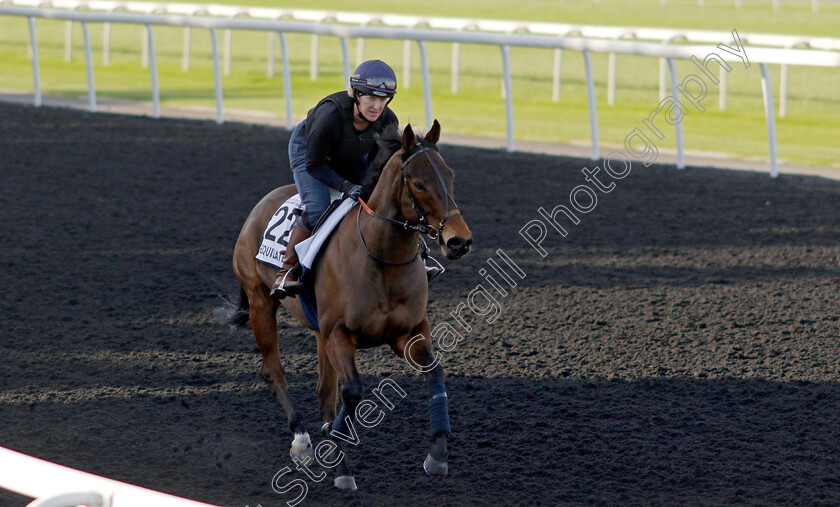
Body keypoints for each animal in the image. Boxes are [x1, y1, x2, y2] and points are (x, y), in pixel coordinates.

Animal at [221, 121, 472, 490]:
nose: (459, 241)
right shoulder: (339, 333)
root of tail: (261, 205)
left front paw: (437, 455)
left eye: (450, 175)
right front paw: (337, 456)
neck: (381, 259)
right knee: (273, 372)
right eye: (420, 183)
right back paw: (302, 440)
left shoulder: (408, 331)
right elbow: (352, 392)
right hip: (260, 302)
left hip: (317, 331)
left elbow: (434, 372)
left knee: (325, 390)